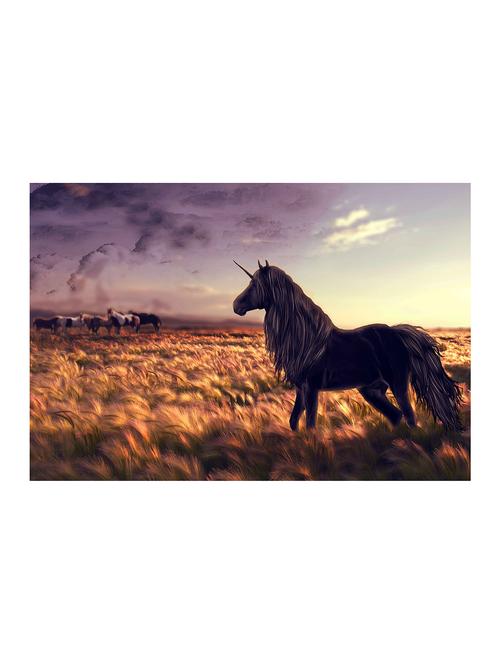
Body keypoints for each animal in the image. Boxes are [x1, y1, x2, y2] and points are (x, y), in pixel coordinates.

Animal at [232, 260, 463, 431]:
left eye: (255, 285)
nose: (236, 305)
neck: (307, 340)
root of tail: (398, 333)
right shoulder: (301, 388)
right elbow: (294, 421)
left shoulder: (311, 388)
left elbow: (310, 424)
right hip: (371, 389)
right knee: (397, 416)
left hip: (397, 385)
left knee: (409, 417)